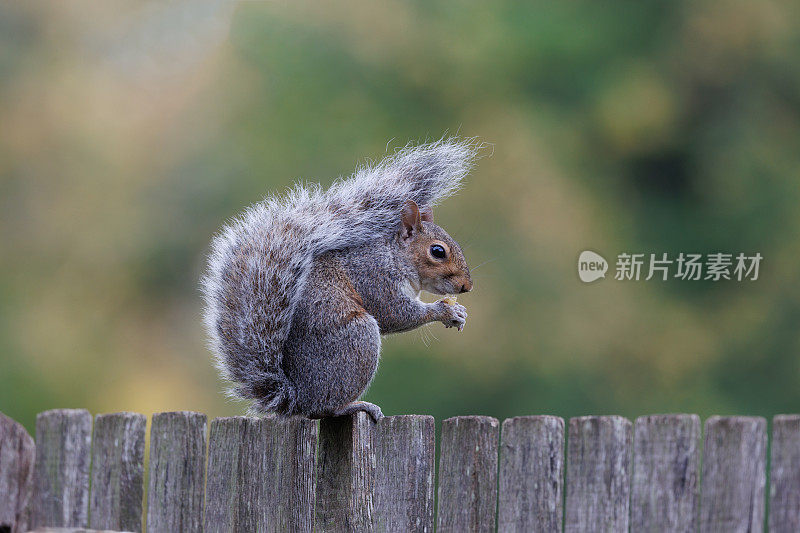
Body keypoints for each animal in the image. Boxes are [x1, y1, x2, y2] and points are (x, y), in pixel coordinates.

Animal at [203, 137, 478, 420]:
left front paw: (459, 313)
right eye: (438, 251)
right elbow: (395, 313)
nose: (466, 286)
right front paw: (444, 311)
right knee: (326, 408)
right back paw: (353, 405)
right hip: (357, 340)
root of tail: (297, 399)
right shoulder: (373, 277)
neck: (394, 256)